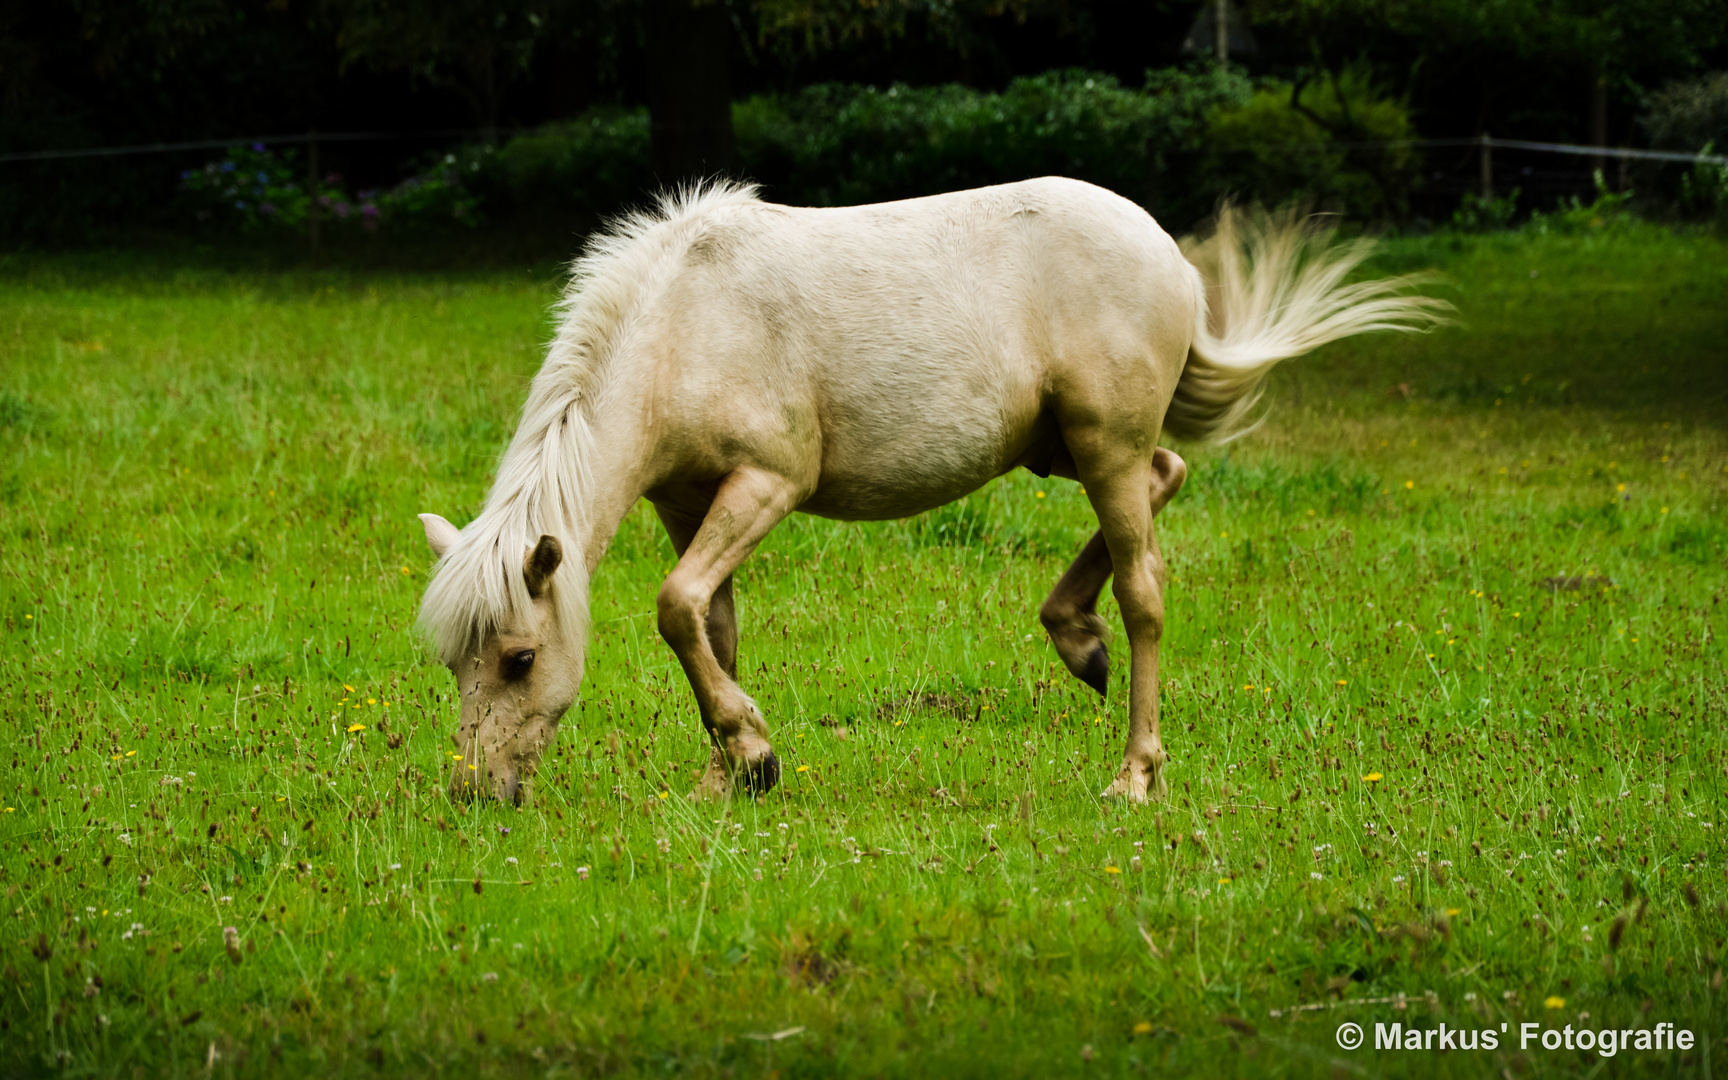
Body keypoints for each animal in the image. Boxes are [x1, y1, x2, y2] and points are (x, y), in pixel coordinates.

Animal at [414, 174, 1444, 801]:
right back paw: (1075, 636)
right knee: (1167, 477)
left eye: (517, 659)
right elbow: (710, 624)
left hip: (1102, 445)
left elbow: (676, 607)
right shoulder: (686, 505)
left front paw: (749, 749)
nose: (473, 791)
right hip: (1064, 447)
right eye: (458, 662)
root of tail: (1168, 253)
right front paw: (733, 769)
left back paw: (1134, 774)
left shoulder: (767, 484)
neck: (682, 325)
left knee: (1147, 588)